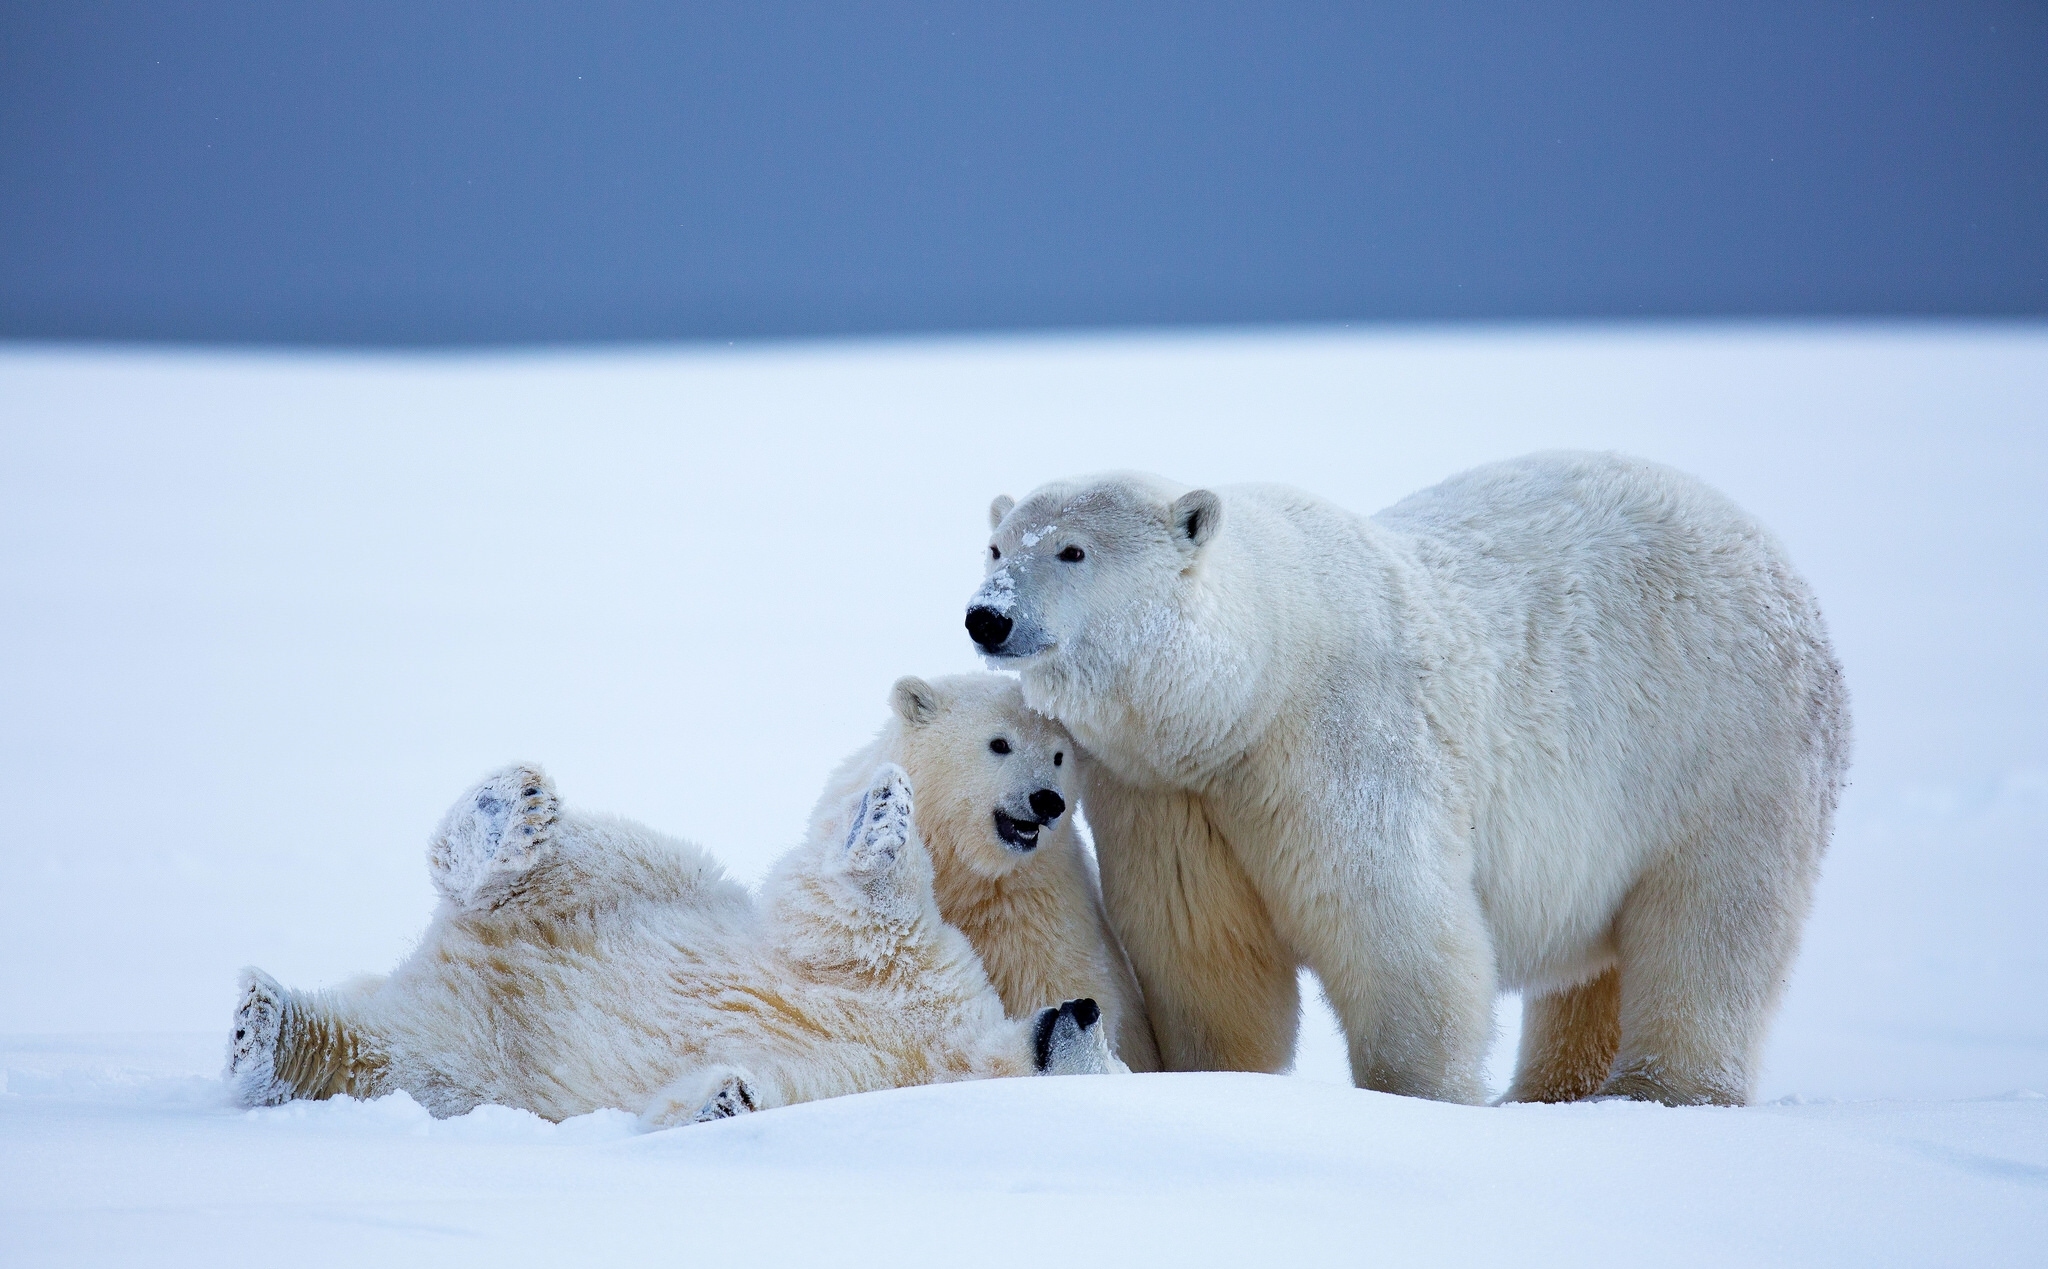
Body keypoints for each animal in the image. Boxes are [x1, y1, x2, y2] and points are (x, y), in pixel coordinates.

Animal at [224, 761, 1124, 1127]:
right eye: (1113, 1045)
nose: (1082, 1008)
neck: (953, 1056)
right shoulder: (934, 984)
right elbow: (865, 924)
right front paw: (886, 815)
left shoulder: (867, 1079)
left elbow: (769, 1088)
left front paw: (724, 1099)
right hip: (653, 888)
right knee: (604, 858)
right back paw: (509, 815)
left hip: (467, 1067)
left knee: (384, 1059)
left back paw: (266, 1035)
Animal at [809, 673, 1161, 1072]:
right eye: (1000, 743)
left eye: (1059, 756)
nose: (1047, 800)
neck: (963, 869)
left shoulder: (1039, 908)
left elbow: (1053, 982)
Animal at [964, 451, 1850, 1107]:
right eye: (998, 547)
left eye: (1072, 550)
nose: (988, 615)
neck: (1248, 687)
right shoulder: (1164, 793)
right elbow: (1205, 950)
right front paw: (1219, 1077)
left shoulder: (1338, 737)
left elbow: (1393, 922)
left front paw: (1421, 1097)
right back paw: (1552, 1091)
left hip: (1727, 744)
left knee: (1712, 922)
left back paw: (1661, 1089)